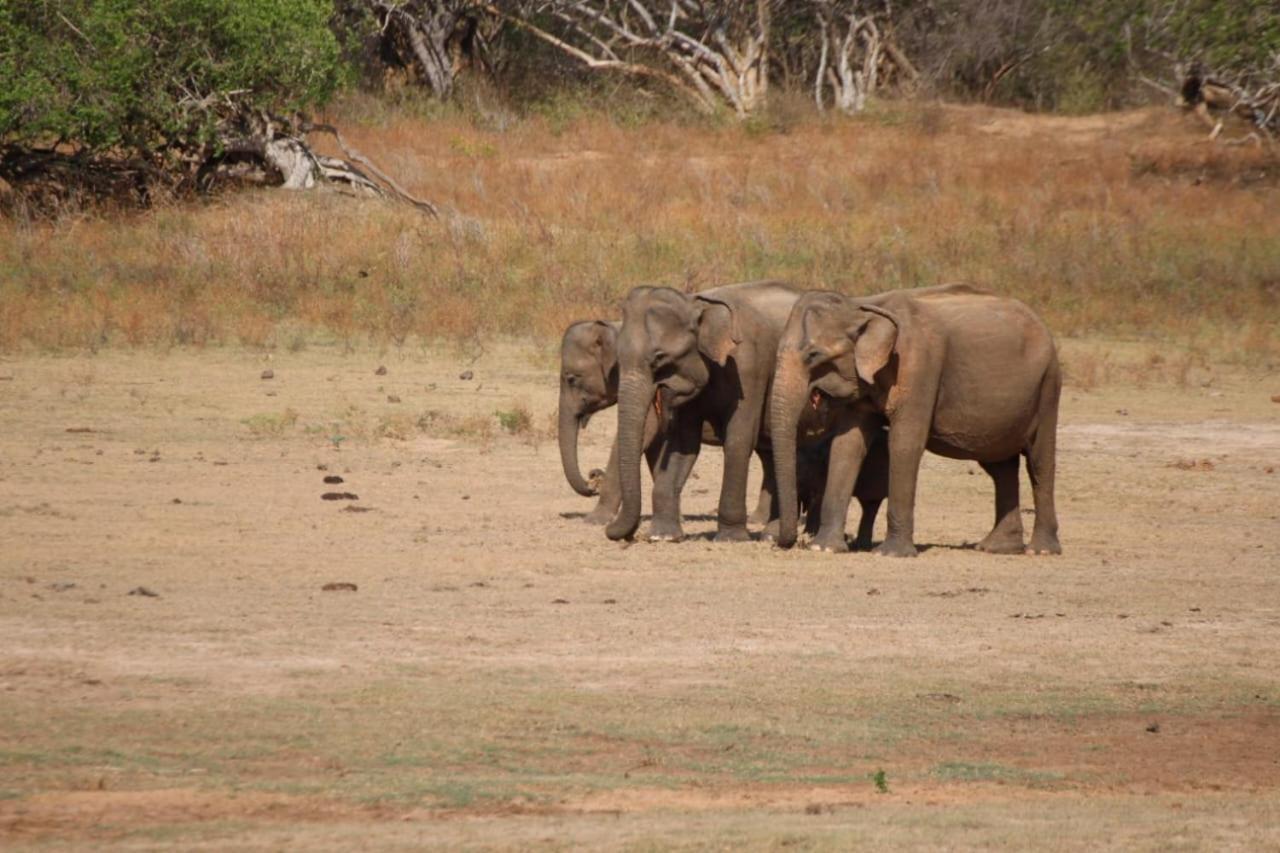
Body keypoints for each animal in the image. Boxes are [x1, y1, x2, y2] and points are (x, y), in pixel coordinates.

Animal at [768, 281, 1059, 555]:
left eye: (813, 355)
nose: (782, 542)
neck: (862, 306)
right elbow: (847, 445)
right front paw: (824, 547)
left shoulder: (919, 366)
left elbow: (905, 443)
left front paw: (891, 554)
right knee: (1000, 467)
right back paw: (996, 547)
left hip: (1047, 386)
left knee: (1039, 462)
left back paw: (1040, 549)